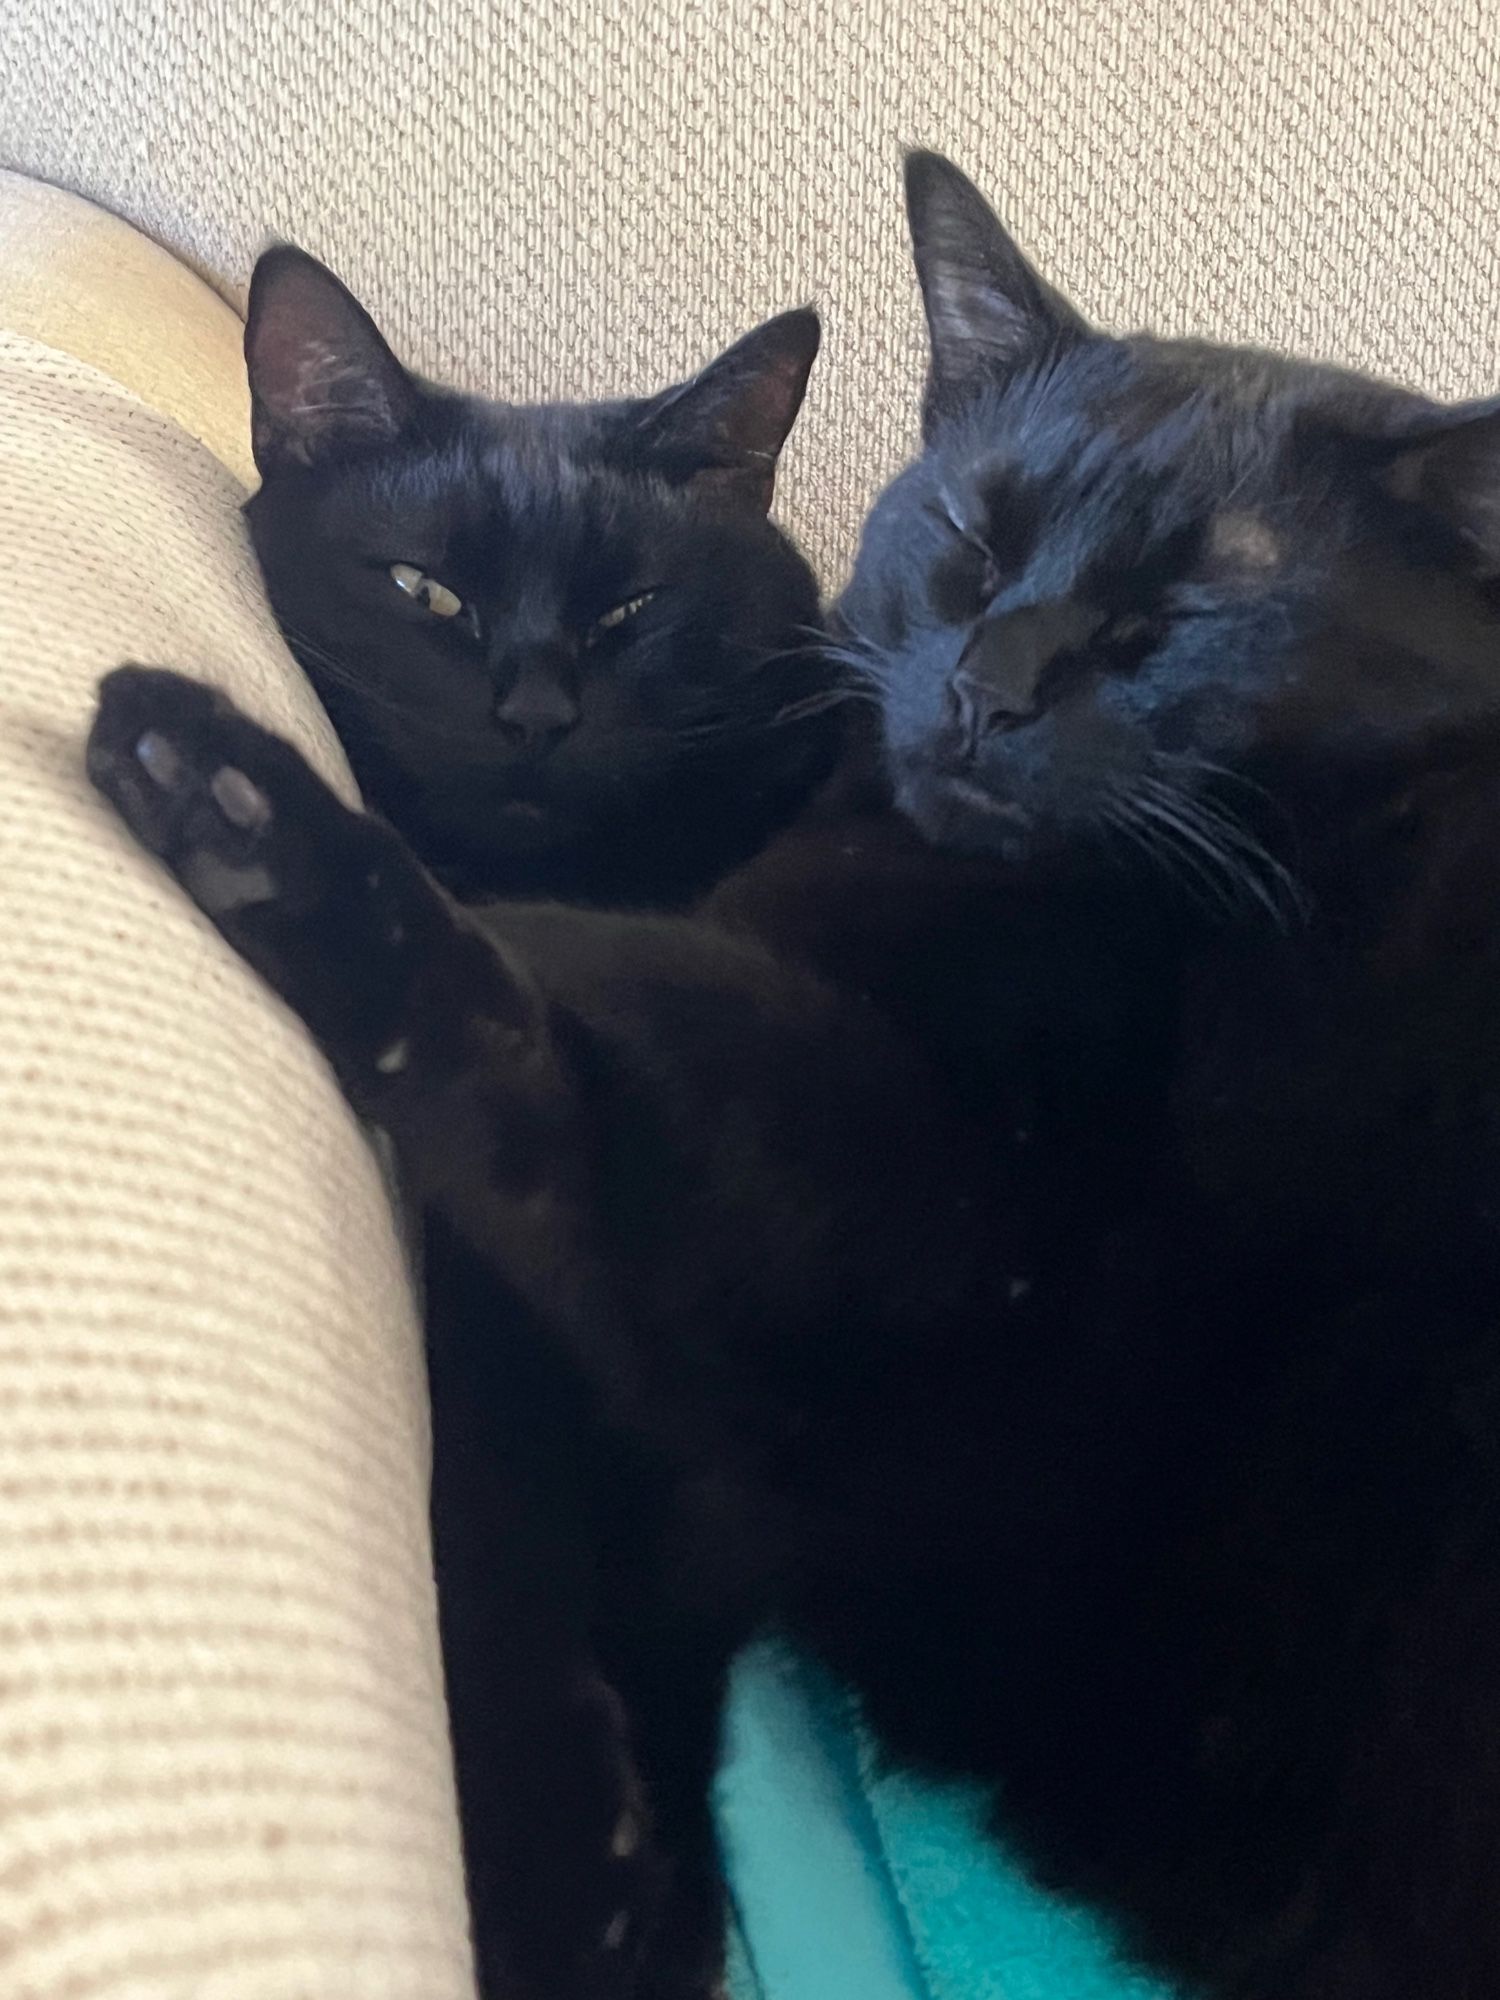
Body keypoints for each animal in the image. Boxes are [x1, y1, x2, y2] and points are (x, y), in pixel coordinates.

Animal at [88, 152, 1500, 2000]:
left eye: (1186, 616)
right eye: (971, 545)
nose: (990, 690)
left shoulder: (937, 1251)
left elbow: (549, 1024)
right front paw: (606, 1876)